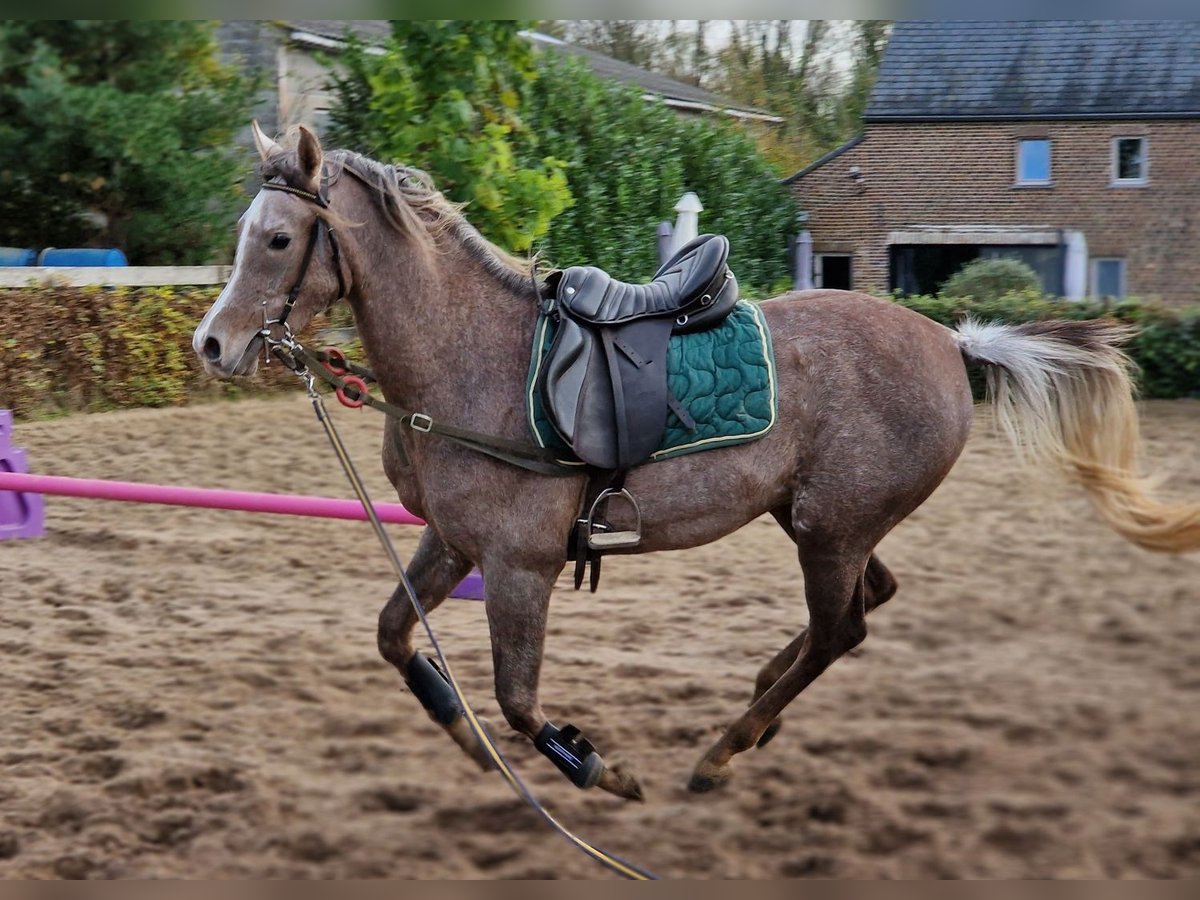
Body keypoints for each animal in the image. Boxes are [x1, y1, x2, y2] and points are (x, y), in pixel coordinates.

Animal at [192, 123, 1195, 801]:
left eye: (277, 239)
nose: (211, 343)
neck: (470, 354)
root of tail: (953, 342)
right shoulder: (453, 542)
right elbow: (395, 637)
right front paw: (469, 743)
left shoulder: (519, 565)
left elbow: (519, 698)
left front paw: (597, 766)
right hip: (821, 519)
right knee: (865, 604)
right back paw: (760, 710)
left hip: (829, 530)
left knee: (840, 630)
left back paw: (723, 749)